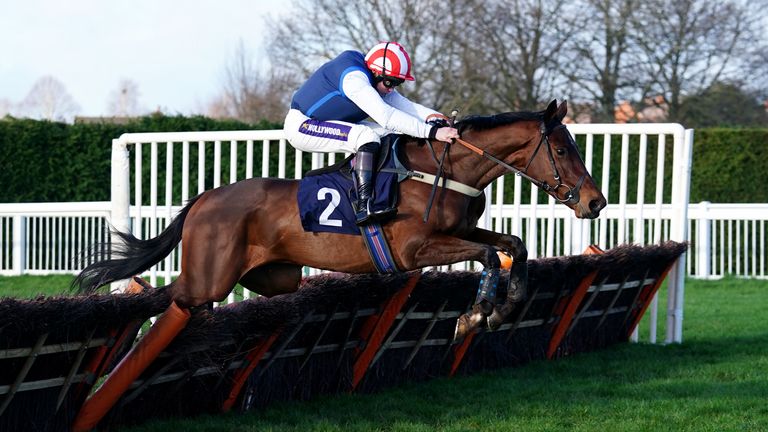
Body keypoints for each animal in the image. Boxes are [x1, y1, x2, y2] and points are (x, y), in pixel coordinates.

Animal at [76, 100, 608, 340]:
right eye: (563, 149)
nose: (595, 203)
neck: (445, 170)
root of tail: (205, 199)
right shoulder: (415, 248)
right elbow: (488, 256)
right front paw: (476, 314)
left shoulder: (456, 231)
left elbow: (512, 244)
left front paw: (504, 308)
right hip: (209, 277)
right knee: (165, 299)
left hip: (268, 278)